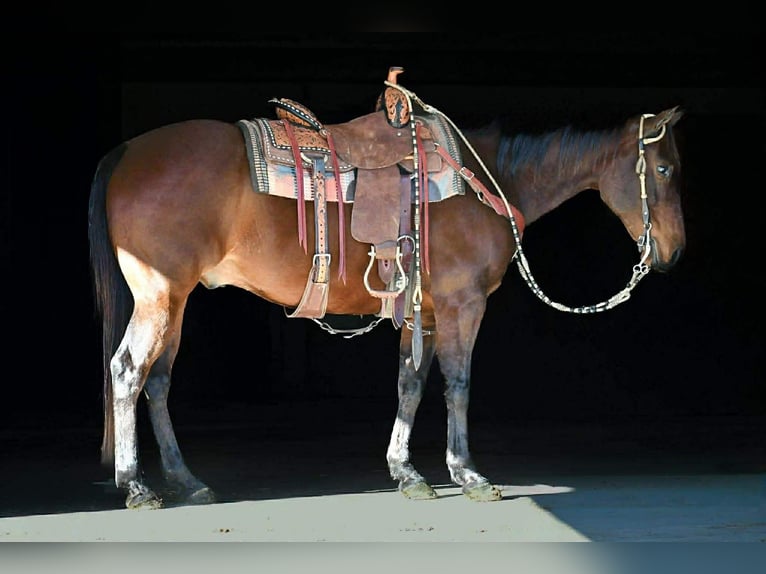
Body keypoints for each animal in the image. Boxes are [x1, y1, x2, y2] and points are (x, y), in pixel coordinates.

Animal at [88, 73, 685, 509]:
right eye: (664, 168)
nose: (674, 252)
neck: (488, 183)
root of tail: (125, 152)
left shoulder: (424, 310)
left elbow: (411, 384)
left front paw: (407, 472)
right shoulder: (462, 304)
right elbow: (457, 384)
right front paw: (467, 473)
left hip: (176, 299)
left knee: (158, 380)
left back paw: (186, 481)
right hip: (160, 293)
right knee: (127, 371)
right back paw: (136, 485)